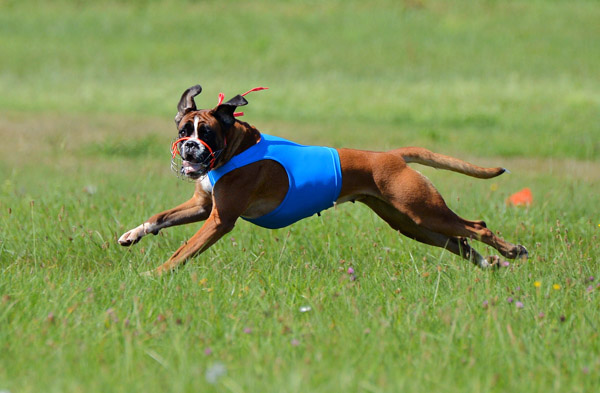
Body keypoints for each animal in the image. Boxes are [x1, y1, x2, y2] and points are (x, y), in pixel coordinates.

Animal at [119, 83, 528, 272]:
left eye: (207, 133)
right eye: (183, 131)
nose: (190, 148)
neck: (235, 148)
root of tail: (390, 156)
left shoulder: (220, 220)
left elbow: (183, 250)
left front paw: (156, 274)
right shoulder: (203, 207)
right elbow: (160, 218)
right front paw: (133, 234)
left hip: (423, 210)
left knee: (476, 227)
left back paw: (511, 251)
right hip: (411, 223)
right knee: (460, 243)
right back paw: (493, 264)